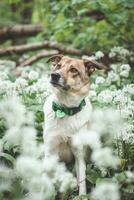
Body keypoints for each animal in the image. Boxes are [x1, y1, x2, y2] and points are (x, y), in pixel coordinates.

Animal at [43, 54, 105, 195]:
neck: (65, 109)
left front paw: (82, 196)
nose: (54, 75)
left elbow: (82, 181)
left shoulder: (79, 153)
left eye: (73, 70)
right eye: (58, 65)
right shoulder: (50, 151)